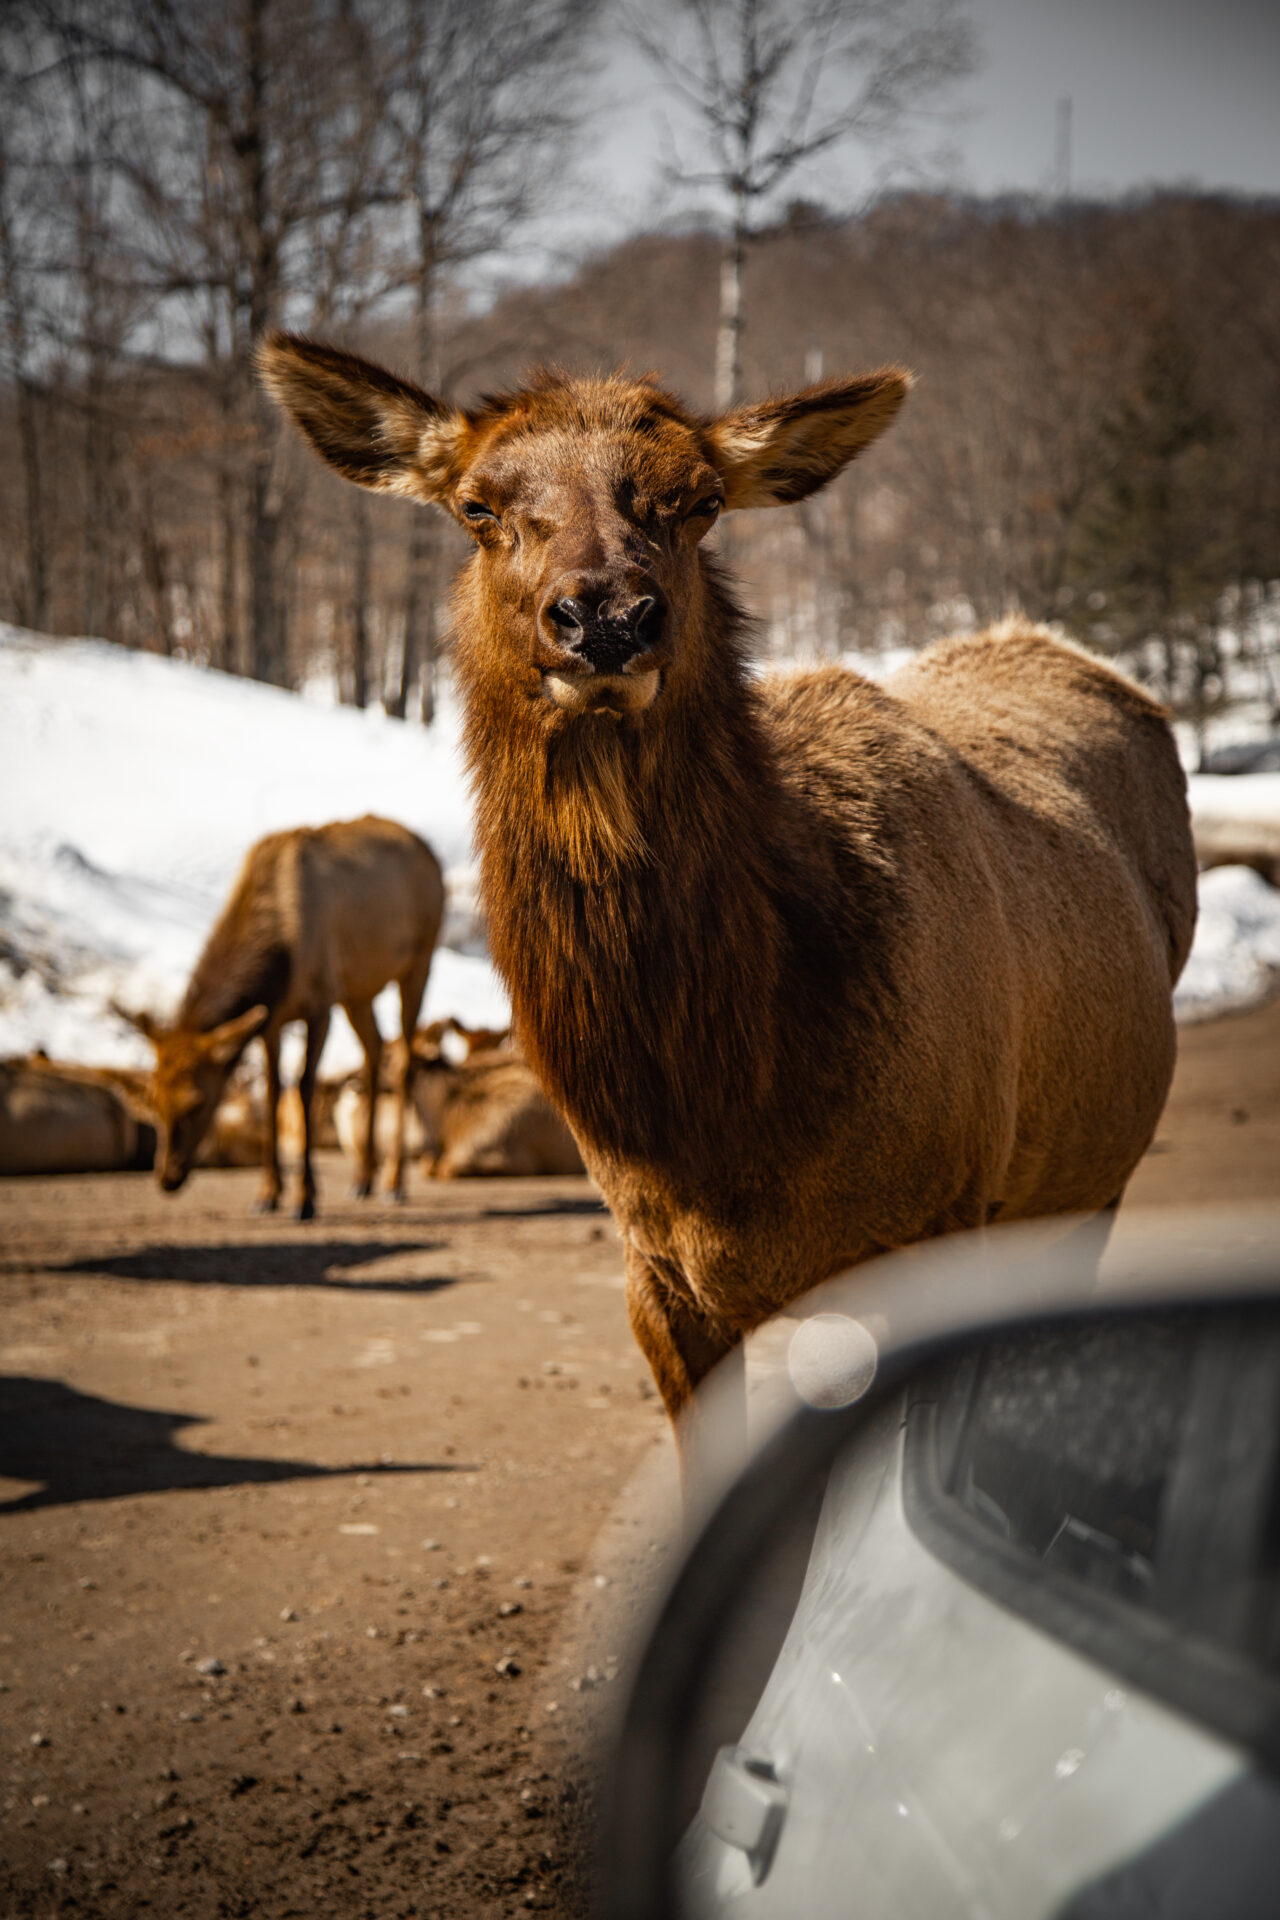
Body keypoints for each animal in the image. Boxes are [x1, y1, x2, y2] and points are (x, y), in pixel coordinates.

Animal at [123, 817, 445, 1221]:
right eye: (153, 1100)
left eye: (196, 1102)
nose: (167, 1177)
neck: (282, 959)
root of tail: (431, 854)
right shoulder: (272, 1019)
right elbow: (273, 1092)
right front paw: (268, 1193)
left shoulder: (320, 1003)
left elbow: (304, 1087)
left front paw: (305, 1197)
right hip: (358, 989)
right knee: (373, 1050)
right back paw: (362, 1179)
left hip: (419, 961)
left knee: (403, 1063)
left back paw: (393, 1183)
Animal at [260, 326, 1205, 1466]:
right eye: (477, 505)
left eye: (699, 498)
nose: (608, 618)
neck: (730, 1110)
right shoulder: (657, 1274)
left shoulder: (948, 1218)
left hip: (1087, 1178)